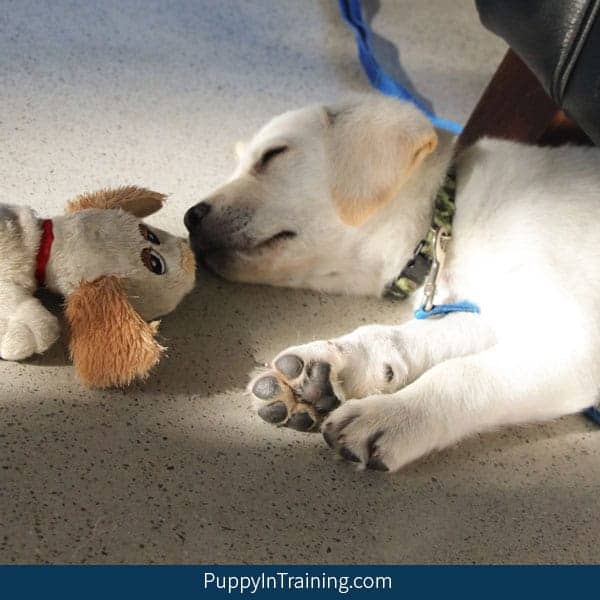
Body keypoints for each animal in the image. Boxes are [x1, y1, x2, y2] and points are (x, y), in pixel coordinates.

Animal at [185, 96, 600, 474]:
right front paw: (336, 364)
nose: (190, 217)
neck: (449, 218)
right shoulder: (488, 314)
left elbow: (462, 373)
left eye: (273, 154)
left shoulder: (577, 343)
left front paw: (393, 415)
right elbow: (407, 335)